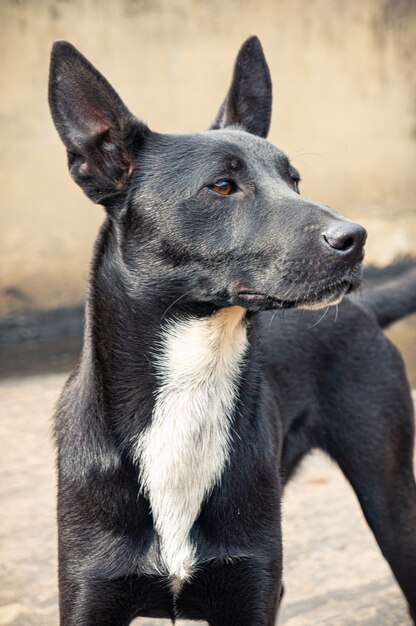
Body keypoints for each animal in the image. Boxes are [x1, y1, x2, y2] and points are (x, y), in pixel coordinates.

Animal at [48, 36, 416, 620]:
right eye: (223, 186)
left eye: (294, 181)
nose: (356, 238)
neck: (193, 381)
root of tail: (364, 309)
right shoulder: (90, 595)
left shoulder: (250, 590)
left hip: (391, 497)